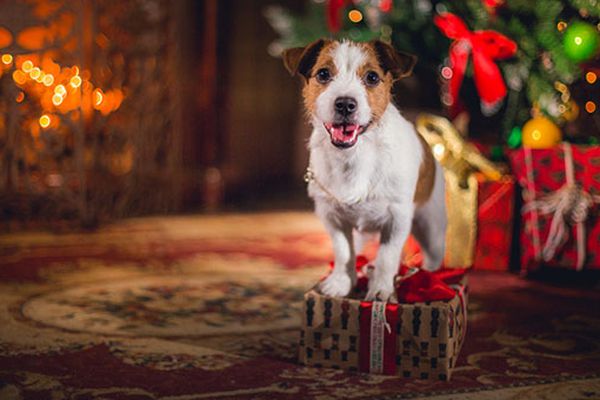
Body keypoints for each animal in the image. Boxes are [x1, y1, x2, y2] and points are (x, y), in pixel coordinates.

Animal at [284, 39, 448, 300]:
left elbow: (386, 257)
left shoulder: (397, 219)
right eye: (323, 74)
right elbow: (343, 252)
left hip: (431, 227)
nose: (345, 104)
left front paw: (381, 289)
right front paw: (341, 283)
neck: (354, 156)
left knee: (433, 256)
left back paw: (429, 278)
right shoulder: (332, 217)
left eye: (372, 77)